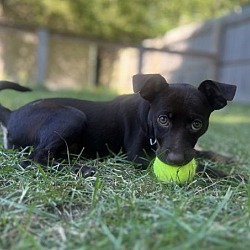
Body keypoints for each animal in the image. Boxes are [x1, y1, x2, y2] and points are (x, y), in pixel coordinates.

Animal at [0, 74, 236, 178]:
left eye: (197, 124)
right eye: (162, 119)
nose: (176, 160)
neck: (147, 117)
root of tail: (11, 114)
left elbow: (200, 153)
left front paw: (226, 159)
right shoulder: (138, 156)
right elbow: (201, 165)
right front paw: (230, 175)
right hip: (71, 116)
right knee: (34, 159)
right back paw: (81, 168)